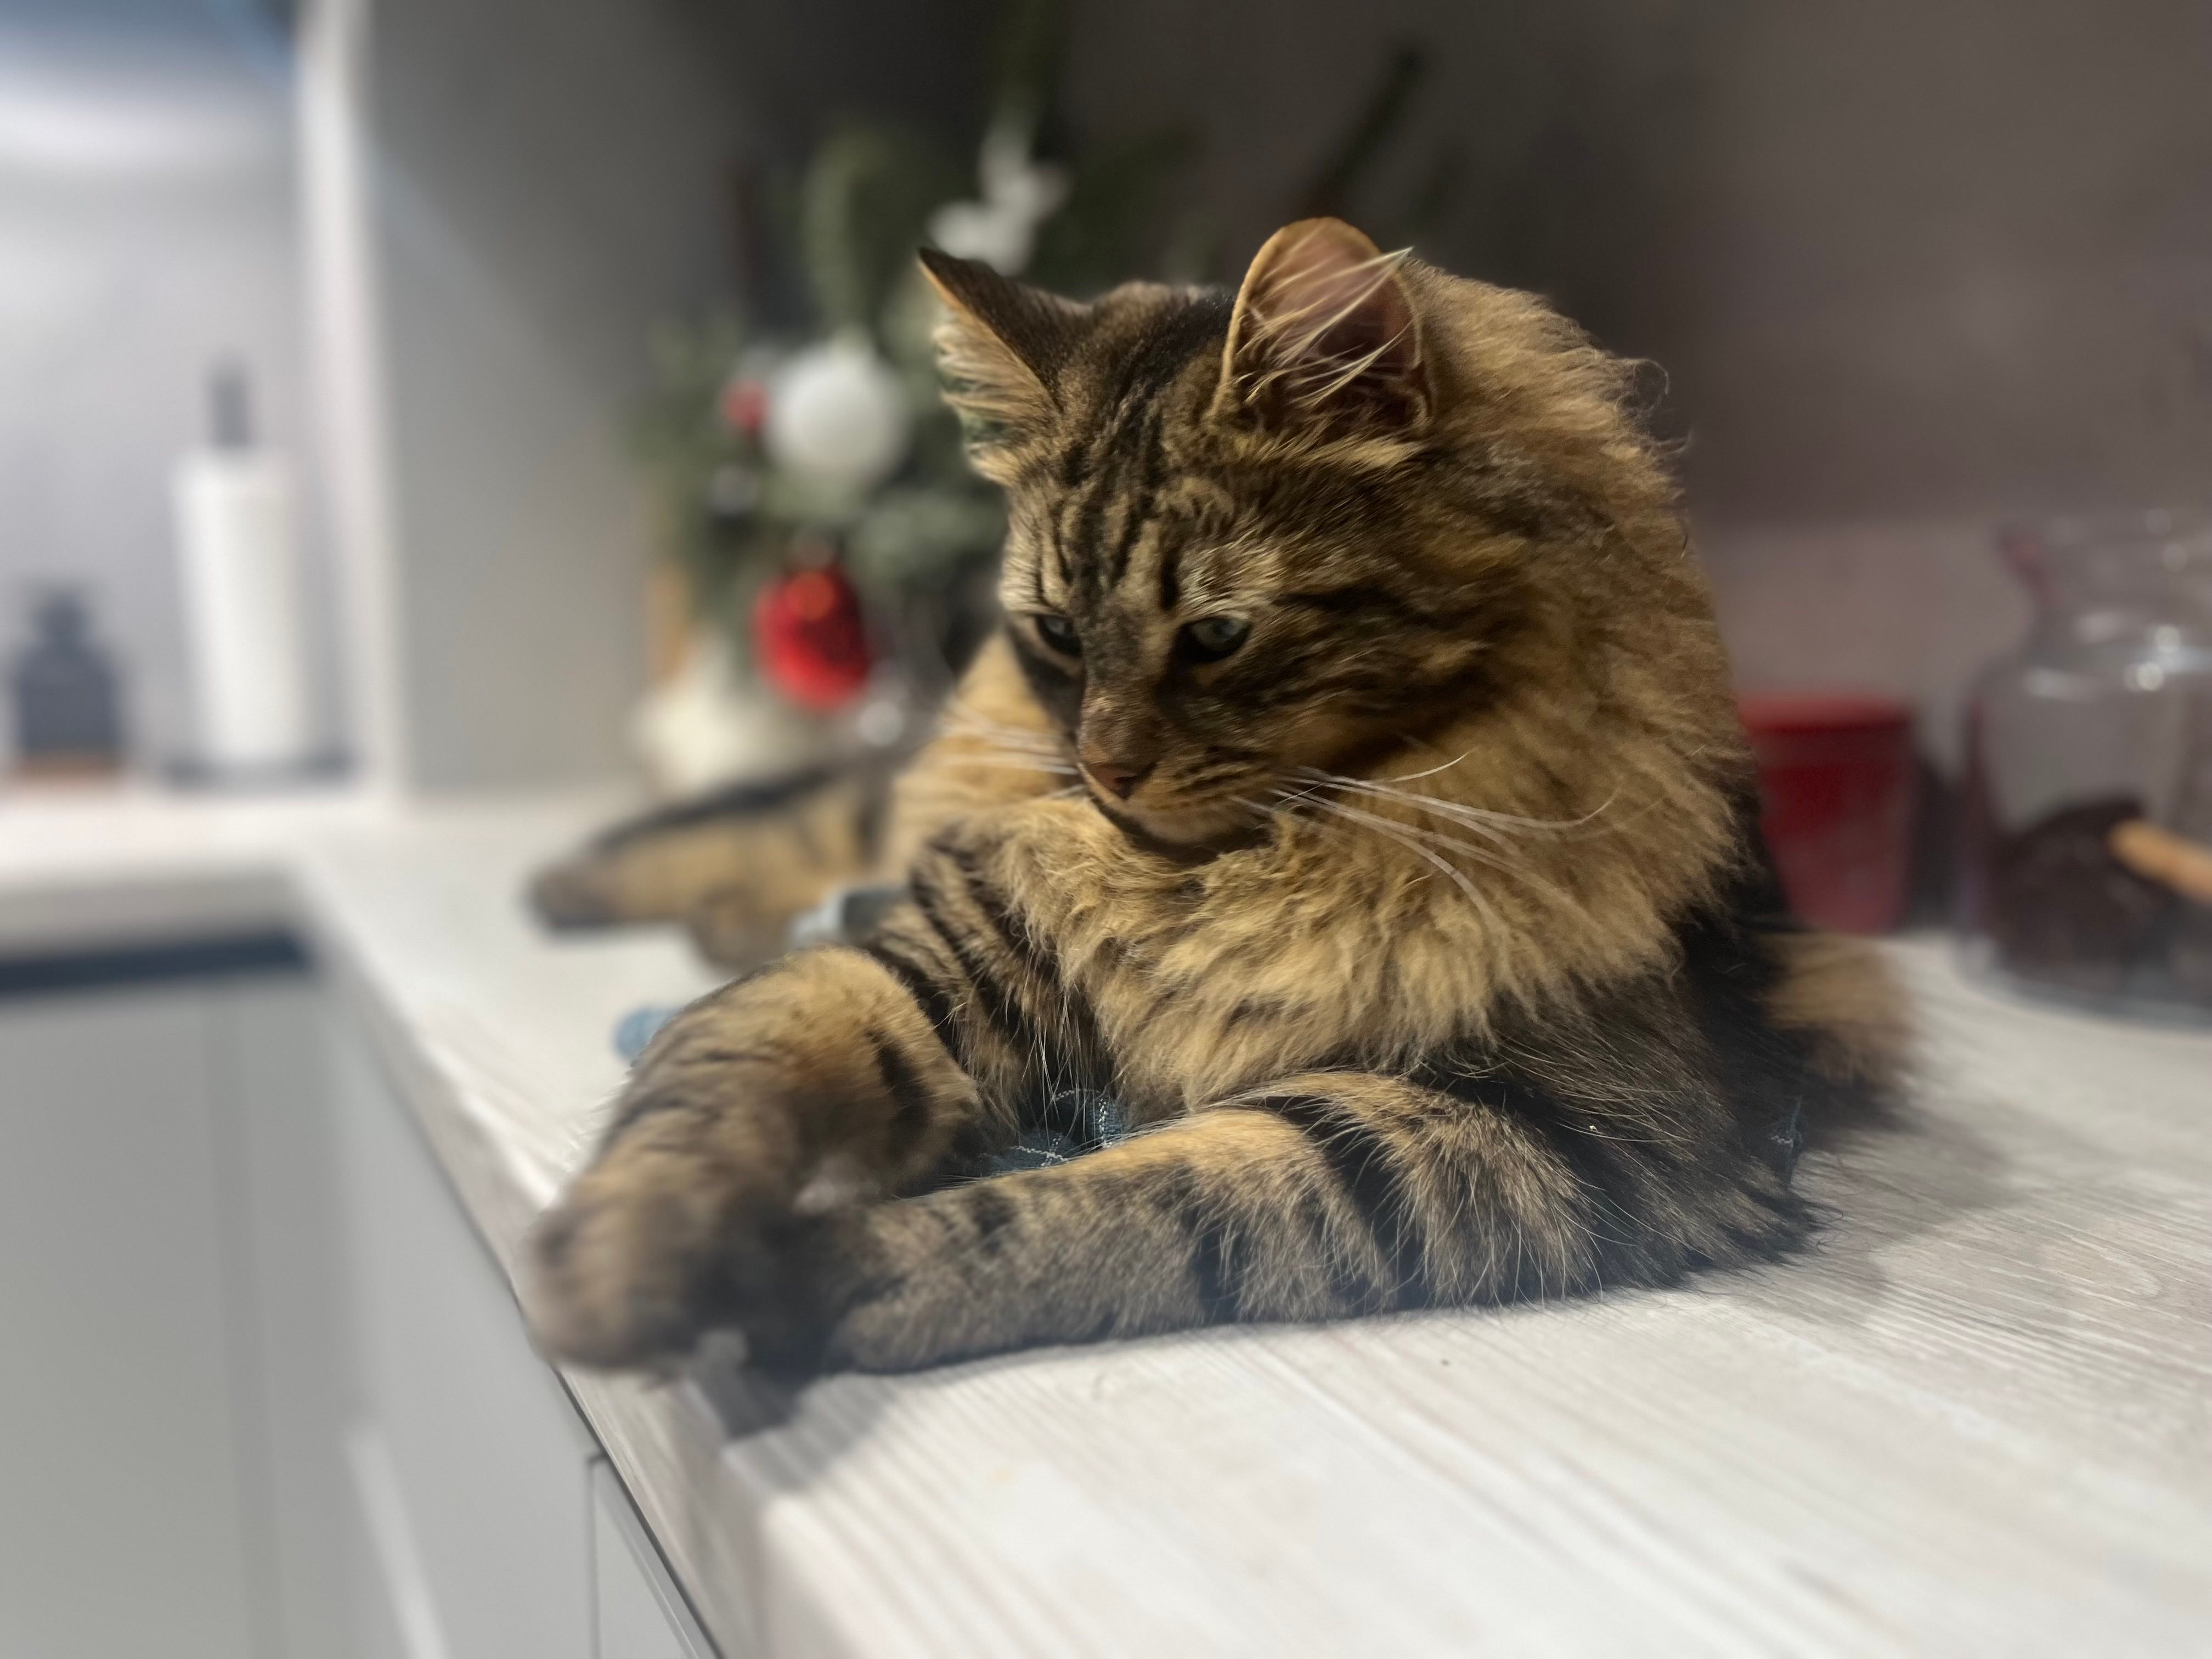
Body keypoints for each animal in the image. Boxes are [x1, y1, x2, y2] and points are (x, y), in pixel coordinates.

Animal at [525, 218, 1905, 1379]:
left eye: (1217, 635)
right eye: (1057, 633)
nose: (1104, 767)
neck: (1222, 871)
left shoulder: (1558, 1124)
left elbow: (1135, 1205)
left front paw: (818, 1277)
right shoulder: (936, 959)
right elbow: (713, 1080)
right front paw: (615, 1273)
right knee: (780, 827)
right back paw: (568, 887)